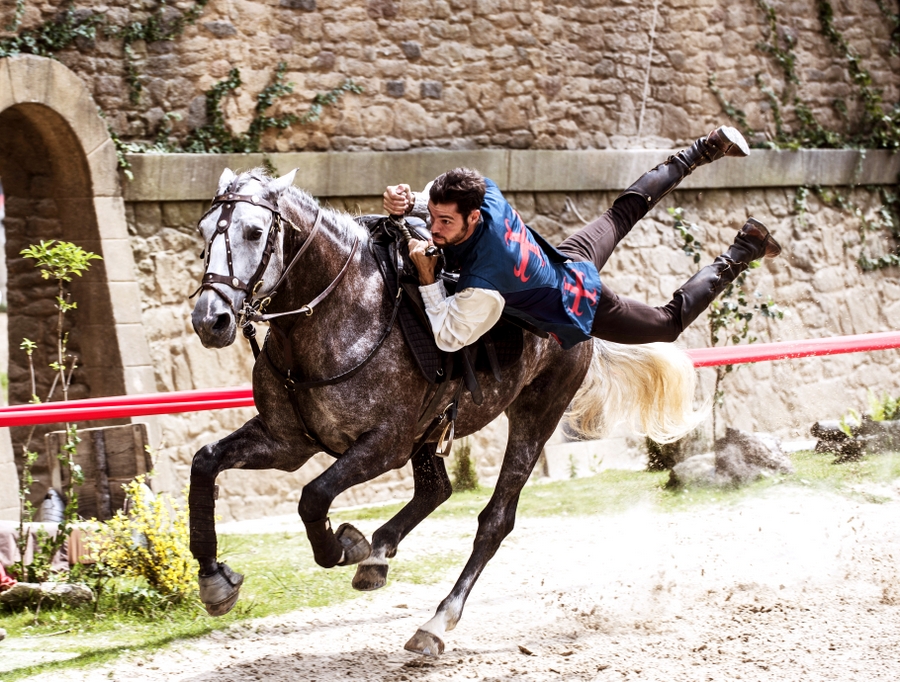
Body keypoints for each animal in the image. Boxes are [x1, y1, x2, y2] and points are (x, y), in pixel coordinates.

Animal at [186, 165, 700, 652]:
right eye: (204, 228)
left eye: (255, 231)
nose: (211, 320)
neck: (337, 316)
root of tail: (578, 289)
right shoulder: (288, 440)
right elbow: (205, 462)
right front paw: (215, 581)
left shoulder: (385, 444)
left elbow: (313, 496)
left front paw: (345, 545)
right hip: (433, 429)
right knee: (438, 490)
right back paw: (380, 555)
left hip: (536, 413)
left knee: (494, 521)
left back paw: (435, 620)